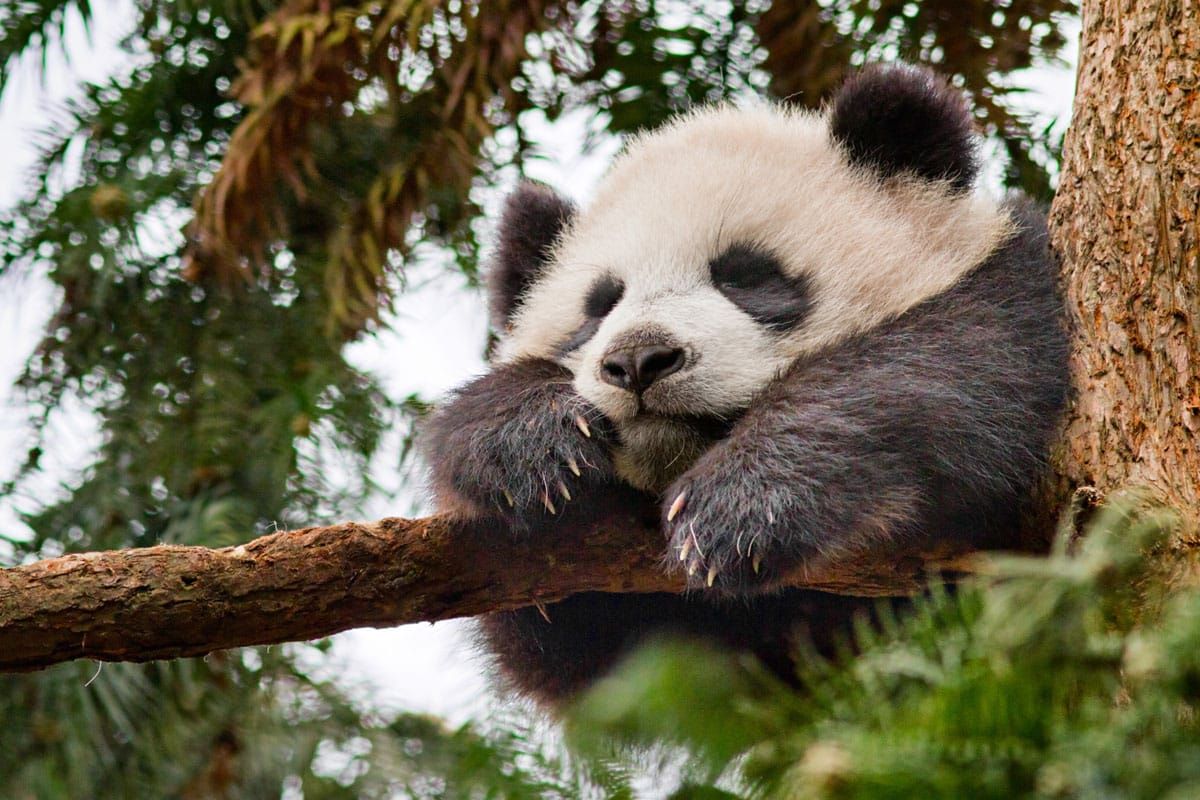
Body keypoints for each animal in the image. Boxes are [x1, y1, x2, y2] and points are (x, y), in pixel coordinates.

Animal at [421, 64, 1070, 707]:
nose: (638, 361)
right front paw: (527, 438)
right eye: (600, 306)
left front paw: (742, 507)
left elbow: (964, 364)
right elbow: (566, 633)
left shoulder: (1021, 292)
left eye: (745, 276)